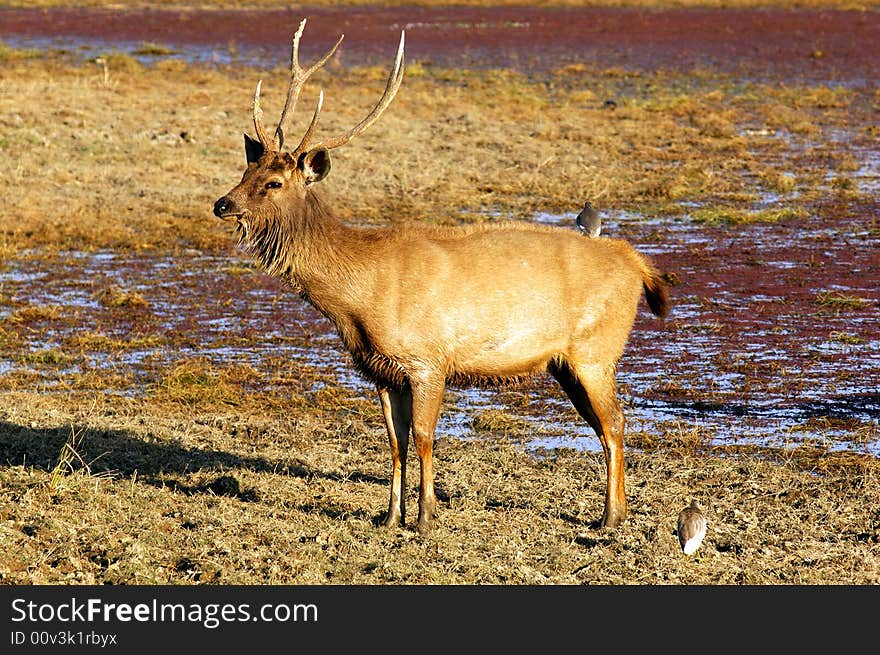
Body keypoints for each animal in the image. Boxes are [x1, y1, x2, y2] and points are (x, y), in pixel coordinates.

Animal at [211, 18, 668, 536]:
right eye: (246, 169)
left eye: (274, 183)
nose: (222, 204)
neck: (358, 299)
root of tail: (637, 264)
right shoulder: (380, 369)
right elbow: (395, 440)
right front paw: (390, 516)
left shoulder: (428, 358)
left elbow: (425, 435)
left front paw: (427, 516)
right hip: (567, 363)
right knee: (603, 425)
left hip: (596, 350)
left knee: (615, 422)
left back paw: (611, 518)